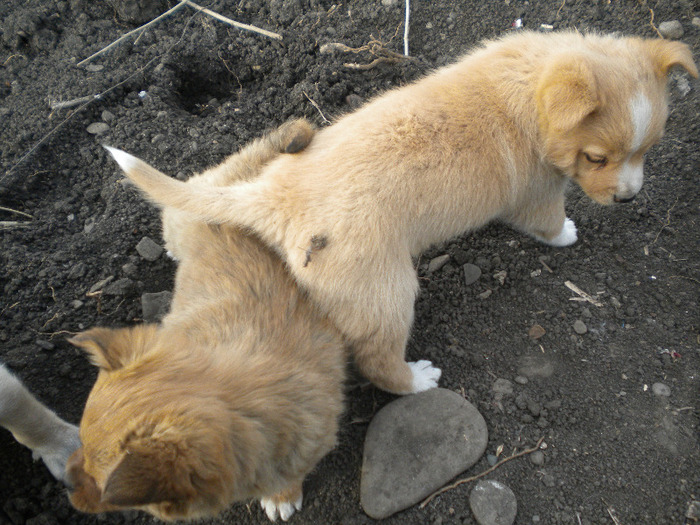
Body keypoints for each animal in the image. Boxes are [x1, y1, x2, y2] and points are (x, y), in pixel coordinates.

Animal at [104, 30, 696, 396]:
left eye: (651, 148)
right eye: (597, 158)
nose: (629, 199)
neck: (531, 86)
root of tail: (276, 195)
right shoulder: (538, 192)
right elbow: (549, 222)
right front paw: (568, 233)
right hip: (384, 292)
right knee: (377, 359)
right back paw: (418, 379)